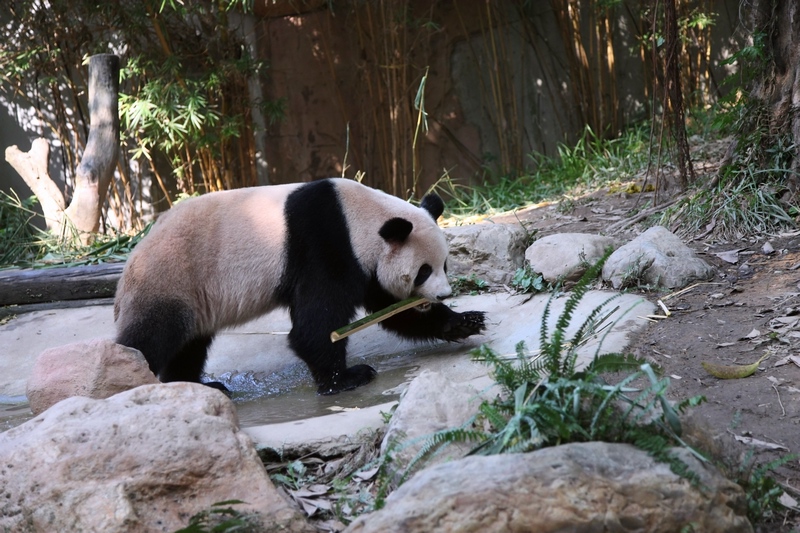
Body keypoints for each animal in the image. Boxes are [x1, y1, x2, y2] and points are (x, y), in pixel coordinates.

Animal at [114, 178, 486, 395]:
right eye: (423, 271)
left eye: (445, 265)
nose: (442, 294)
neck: (359, 218)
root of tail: (131, 261)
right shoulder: (325, 245)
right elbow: (316, 325)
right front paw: (348, 378)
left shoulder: (364, 265)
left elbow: (391, 310)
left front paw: (464, 321)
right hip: (173, 277)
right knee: (151, 337)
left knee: (189, 345)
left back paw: (199, 386)